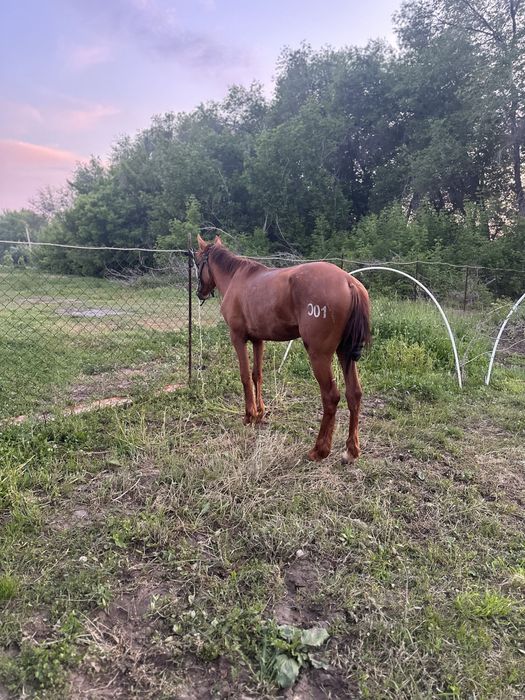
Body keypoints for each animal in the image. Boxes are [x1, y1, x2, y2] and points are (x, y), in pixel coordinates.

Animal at [194, 235, 371, 463]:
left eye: (198, 261)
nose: (199, 292)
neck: (236, 278)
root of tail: (348, 282)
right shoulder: (258, 340)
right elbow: (257, 375)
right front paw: (260, 413)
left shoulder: (238, 338)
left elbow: (244, 376)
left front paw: (249, 415)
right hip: (345, 353)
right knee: (354, 394)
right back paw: (351, 450)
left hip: (319, 356)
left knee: (331, 397)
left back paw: (319, 450)